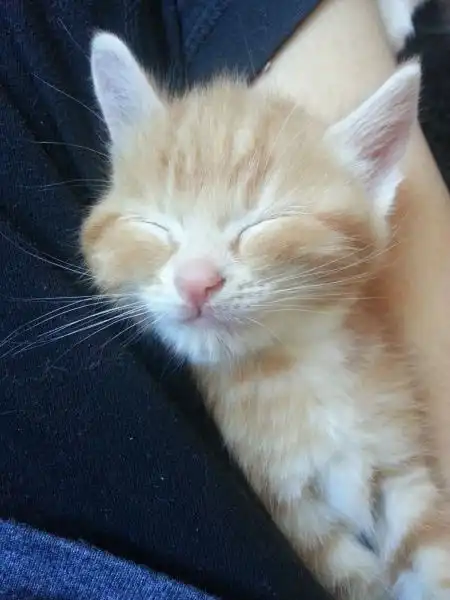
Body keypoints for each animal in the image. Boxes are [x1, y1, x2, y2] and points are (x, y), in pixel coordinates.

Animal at [82, 32, 450, 600]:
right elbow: (357, 582)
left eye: (261, 225)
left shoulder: (400, 466)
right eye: (157, 227)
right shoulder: (297, 515)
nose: (196, 281)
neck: (301, 370)